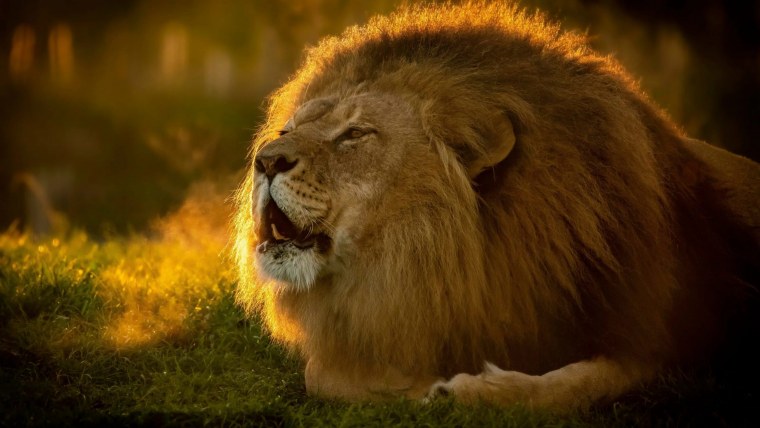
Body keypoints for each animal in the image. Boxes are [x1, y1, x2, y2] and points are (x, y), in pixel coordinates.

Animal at [234, 2, 760, 413]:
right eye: (285, 131)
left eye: (355, 134)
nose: (266, 160)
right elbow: (324, 375)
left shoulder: (667, 338)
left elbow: (580, 385)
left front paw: (466, 390)